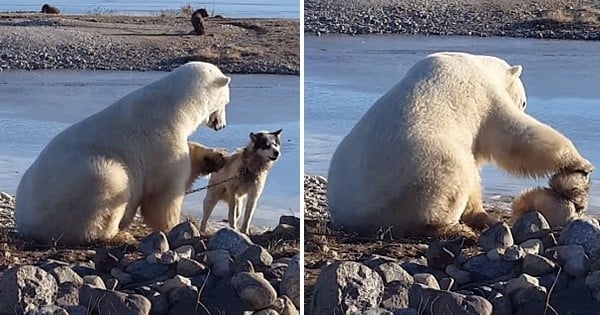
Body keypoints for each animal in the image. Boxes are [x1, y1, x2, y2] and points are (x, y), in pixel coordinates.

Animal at [15, 61, 232, 244]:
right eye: (227, 101)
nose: (222, 125)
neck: (176, 107)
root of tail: (24, 222)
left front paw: (217, 157)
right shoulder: (161, 141)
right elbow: (163, 194)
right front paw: (173, 226)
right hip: (81, 184)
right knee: (112, 183)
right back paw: (117, 233)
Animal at [328, 52, 596, 239]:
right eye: (524, 101)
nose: (523, 105)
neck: (479, 65)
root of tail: (352, 217)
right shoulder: (483, 96)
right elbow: (514, 136)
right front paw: (581, 163)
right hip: (419, 170)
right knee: (452, 176)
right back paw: (454, 229)